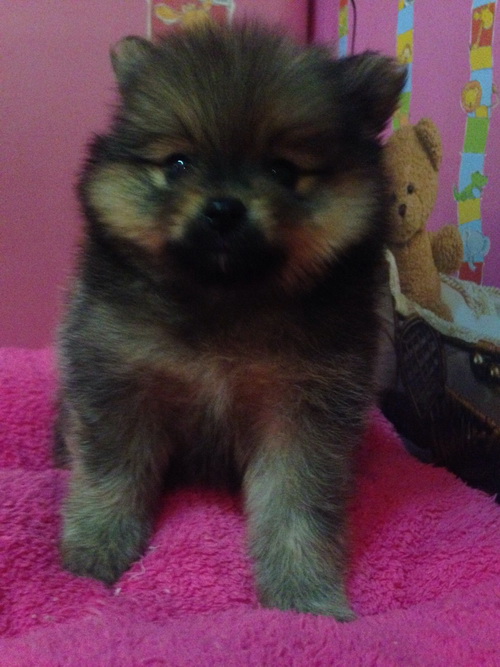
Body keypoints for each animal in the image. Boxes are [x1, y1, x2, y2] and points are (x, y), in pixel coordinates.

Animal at [56, 22, 405, 620]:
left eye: (282, 170)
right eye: (177, 164)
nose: (222, 207)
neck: (224, 300)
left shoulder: (304, 410)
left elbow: (295, 506)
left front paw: (304, 595)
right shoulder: (119, 379)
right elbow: (110, 476)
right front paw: (94, 549)